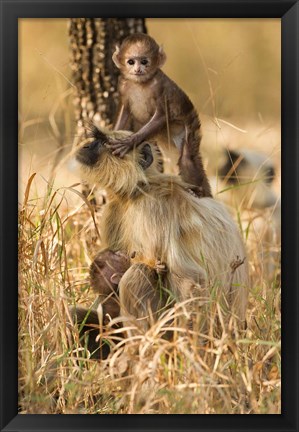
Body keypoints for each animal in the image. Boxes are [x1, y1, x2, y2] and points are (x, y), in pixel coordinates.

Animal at [109, 33, 212, 198]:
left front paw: (130, 142)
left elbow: (163, 116)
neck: (140, 83)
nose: (138, 69)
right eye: (131, 61)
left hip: (190, 127)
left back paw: (198, 191)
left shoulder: (160, 86)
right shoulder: (123, 85)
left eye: (144, 61)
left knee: (187, 159)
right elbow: (124, 112)